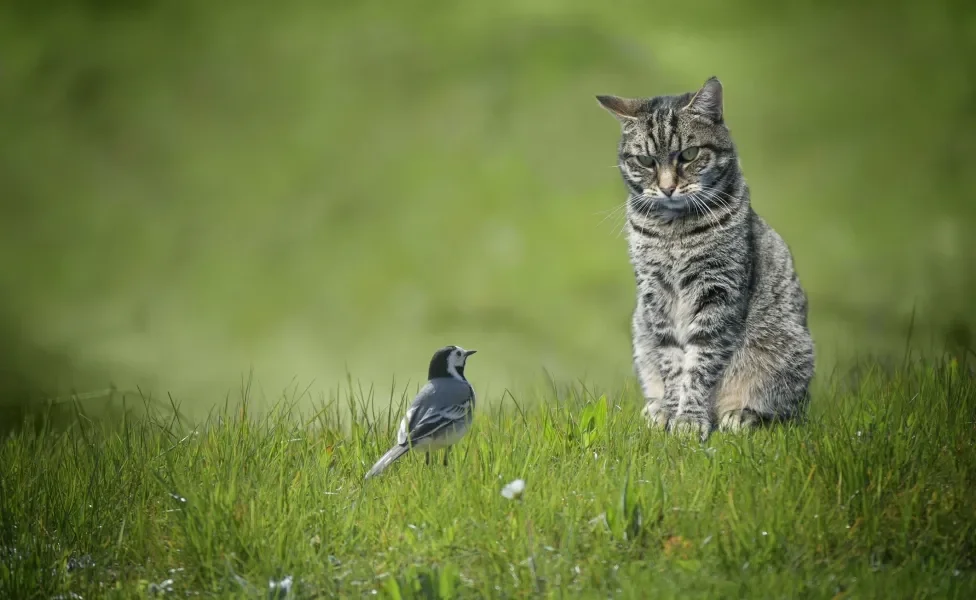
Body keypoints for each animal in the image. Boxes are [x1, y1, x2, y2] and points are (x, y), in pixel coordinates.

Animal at [596, 76, 816, 440]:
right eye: (646, 161)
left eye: (689, 154)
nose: (668, 187)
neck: (673, 229)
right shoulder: (655, 295)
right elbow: (673, 362)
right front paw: (671, 412)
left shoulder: (717, 289)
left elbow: (700, 362)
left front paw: (689, 419)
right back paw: (656, 408)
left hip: (789, 350)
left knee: (784, 411)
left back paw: (740, 415)